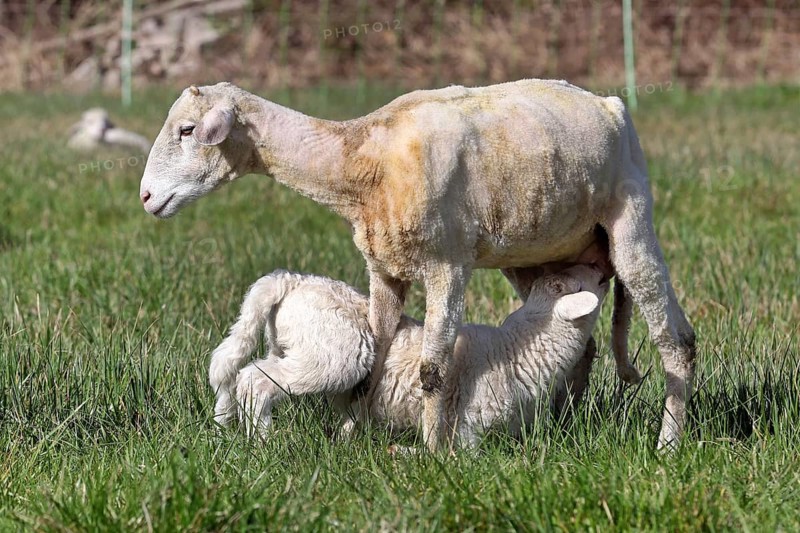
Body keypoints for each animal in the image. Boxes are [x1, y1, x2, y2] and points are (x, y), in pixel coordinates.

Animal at [210, 265, 609, 447]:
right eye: (583, 282)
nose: (603, 270)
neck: (517, 347)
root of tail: (290, 281)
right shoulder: (468, 423)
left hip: (292, 347)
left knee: (242, 370)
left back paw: (224, 420)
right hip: (332, 358)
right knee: (256, 381)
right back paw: (263, 439)